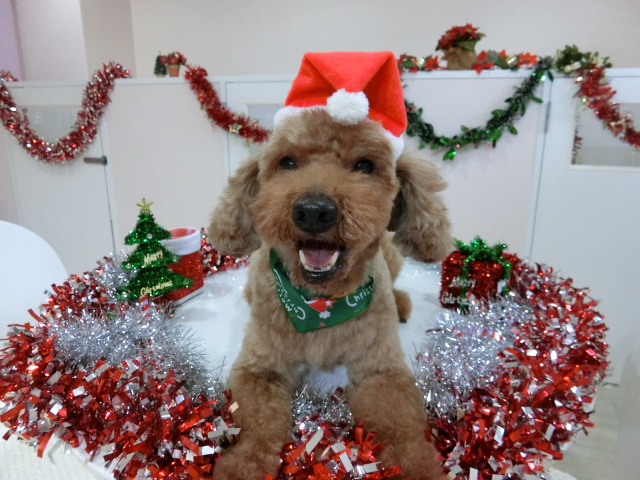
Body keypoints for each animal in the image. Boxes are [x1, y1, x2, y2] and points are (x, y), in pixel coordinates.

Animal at [208, 103, 452, 479]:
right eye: (287, 162)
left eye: (365, 165)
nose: (313, 211)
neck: (318, 303)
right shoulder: (260, 369)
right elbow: (256, 425)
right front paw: (242, 465)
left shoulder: (380, 372)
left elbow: (402, 428)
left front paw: (416, 466)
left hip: (393, 256)